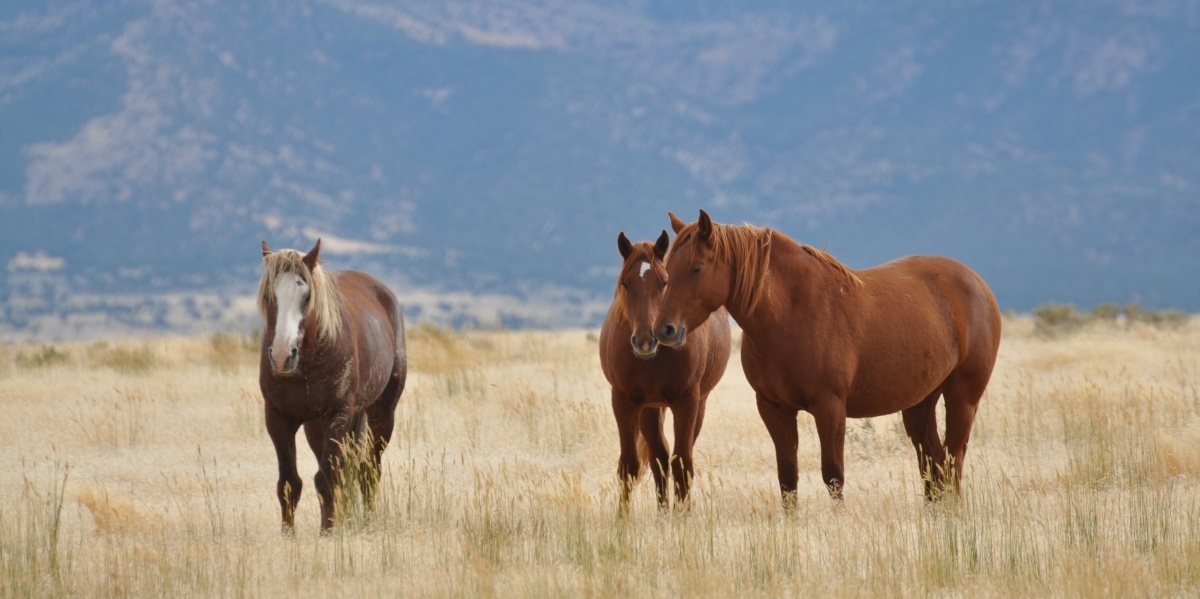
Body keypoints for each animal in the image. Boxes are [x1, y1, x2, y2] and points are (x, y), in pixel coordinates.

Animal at [257, 239, 407, 533]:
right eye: (269, 297)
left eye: (306, 296)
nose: (282, 356)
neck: (306, 366)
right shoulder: (278, 419)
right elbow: (289, 483)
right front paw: (288, 535)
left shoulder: (338, 415)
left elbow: (327, 479)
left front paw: (328, 533)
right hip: (317, 427)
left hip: (382, 413)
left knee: (368, 469)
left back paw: (367, 521)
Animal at [599, 230, 731, 512]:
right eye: (625, 283)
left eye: (664, 283)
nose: (645, 340)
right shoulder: (623, 401)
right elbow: (629, 465)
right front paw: (621, 519)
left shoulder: (687, 401)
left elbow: (682, 462)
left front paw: (684, 515)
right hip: (650, 408)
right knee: (658, 457)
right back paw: (661, 513)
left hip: (698, 404)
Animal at [653, 210, 1001, 505]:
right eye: (667, 272)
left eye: (697, 269)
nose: (664, 330)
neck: (793, 313)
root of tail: (978, 284)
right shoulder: (773, 408)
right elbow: (787, 478)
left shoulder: (830, 408)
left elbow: (833, 475)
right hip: (920, 403)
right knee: (934, 463)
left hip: (962, 397)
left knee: (953, 460)